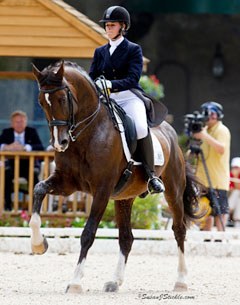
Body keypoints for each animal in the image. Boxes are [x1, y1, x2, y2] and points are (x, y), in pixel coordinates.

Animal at [30, 60, 201, 292]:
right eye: (41, 102)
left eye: (62, 99)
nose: (60, 143)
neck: (88, 133)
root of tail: (170, 131)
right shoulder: (66, 183)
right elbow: (39, 189)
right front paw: (39, 244)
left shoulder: (102, 190)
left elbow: (88, 233)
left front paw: (75, 282)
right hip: (124, 198)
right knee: (126, 237)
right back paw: (115, 281)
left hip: (173, 190)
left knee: (179, 229)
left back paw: (181, 280)